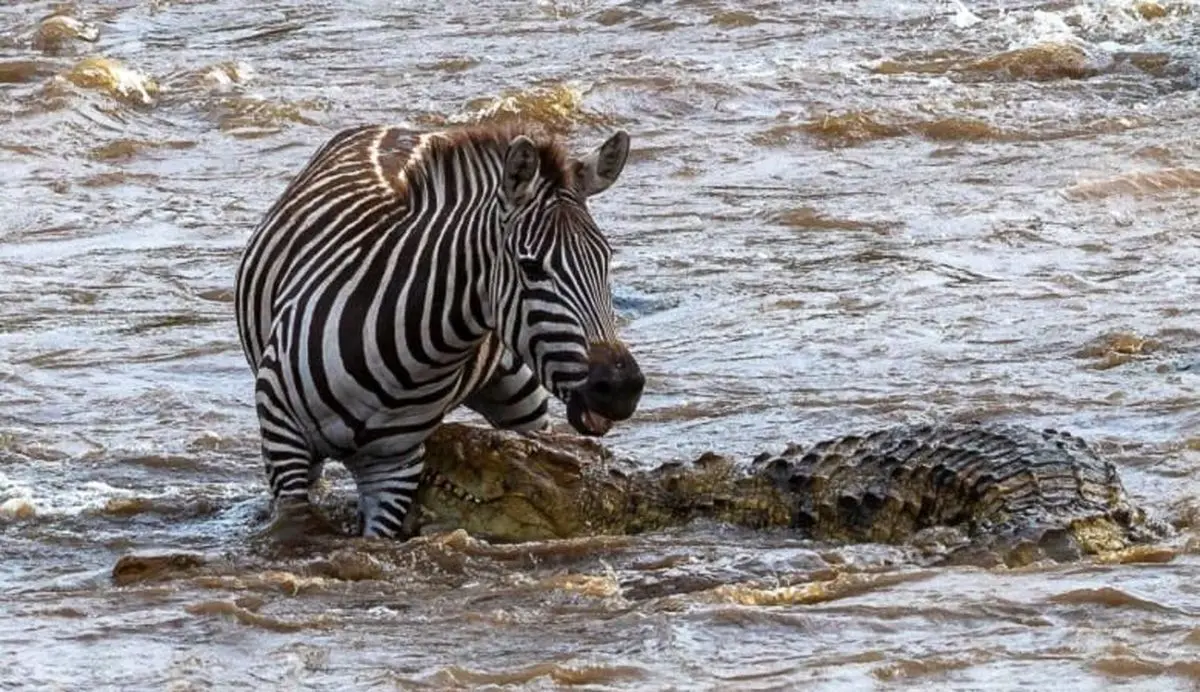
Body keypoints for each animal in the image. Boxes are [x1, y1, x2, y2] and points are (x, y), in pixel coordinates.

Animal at [235, 121, 648, 537]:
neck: (411, 363)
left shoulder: (393, 468)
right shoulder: (282, 433)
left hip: (521, 398)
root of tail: (395, 126)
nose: (621, 387)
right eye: (531, 267)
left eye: (606, 259)